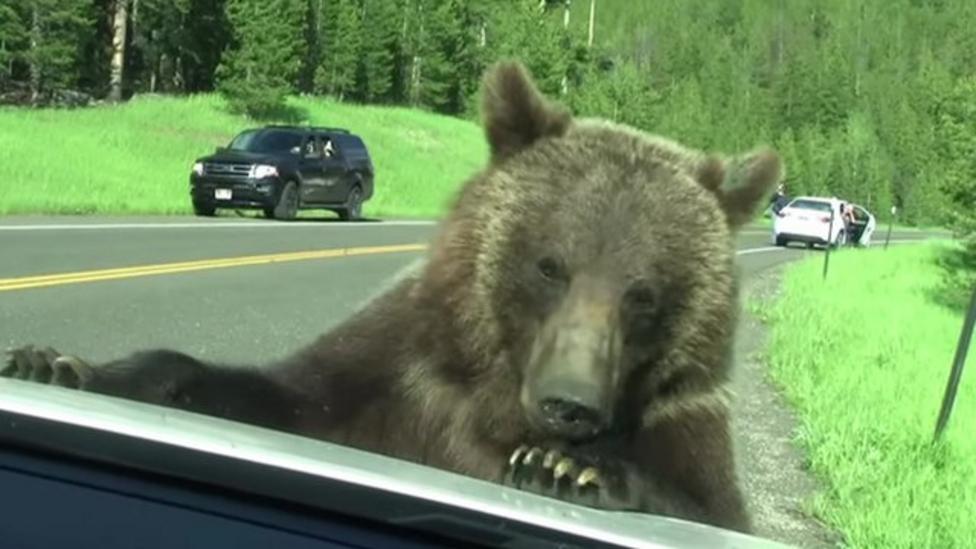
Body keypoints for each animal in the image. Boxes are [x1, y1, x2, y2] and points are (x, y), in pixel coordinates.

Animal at [0, 58, 776, 532]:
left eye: (644, 294)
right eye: (550, 265)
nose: (571, 405)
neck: (495, 396)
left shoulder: (683, 421)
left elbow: (708, 505)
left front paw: (570, 467)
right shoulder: (400, 370)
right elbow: (275, 396)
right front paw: (54, 363)